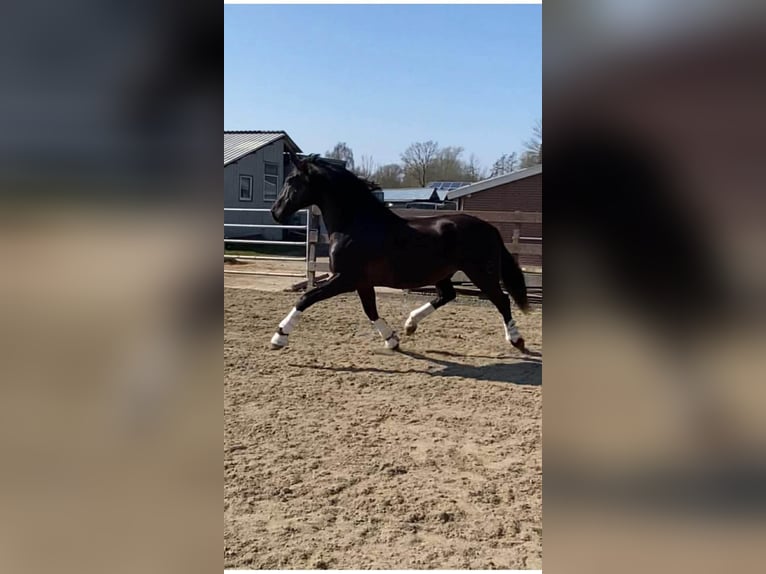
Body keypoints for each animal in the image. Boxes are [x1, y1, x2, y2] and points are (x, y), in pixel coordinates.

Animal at [268, 152, 530, 353]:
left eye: (291, 180)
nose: (275, 212)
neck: (355, 224)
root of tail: (490, 227)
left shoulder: (345, 278)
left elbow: (306, 297)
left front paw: (279, 337)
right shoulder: (362, 281)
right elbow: (370, 310)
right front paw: (392, 340)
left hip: (481, 273)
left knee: (502, 299)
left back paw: (516, 339)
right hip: (443, 273)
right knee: (447, 295)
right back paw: (410, 324)